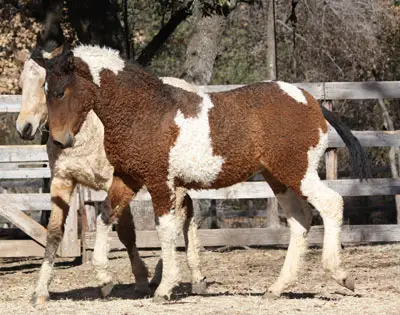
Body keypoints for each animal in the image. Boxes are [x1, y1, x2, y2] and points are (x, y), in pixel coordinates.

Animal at [39, 45, 370, 304]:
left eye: (60, 91)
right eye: (45, 92)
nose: (60, 140)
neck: (144, 112)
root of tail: (310, 101)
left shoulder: (160, 181)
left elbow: (165, 229)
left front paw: (164, 289)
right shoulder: (128, 177)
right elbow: (106, 215)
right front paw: (105, 280)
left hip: (298, 172)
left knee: (331, 204)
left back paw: (341, 275)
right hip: (279, 178)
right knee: (300, 219)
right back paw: (277, 288)